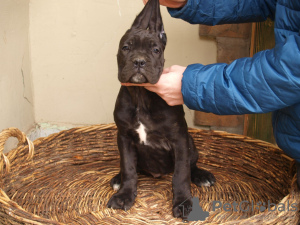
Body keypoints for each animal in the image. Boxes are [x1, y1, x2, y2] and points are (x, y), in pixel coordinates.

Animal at [108, 0, 216, 218]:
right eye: (126, 47)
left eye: (156, 50)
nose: (139, 61)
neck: (141, 97)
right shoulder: (124, 138)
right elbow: (128, 168)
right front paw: (124, 194)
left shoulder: (179, 140)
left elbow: (181, 173)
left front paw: (183, 202)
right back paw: (117, 179)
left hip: (190, 143)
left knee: (191, 165)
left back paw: (202, 175)